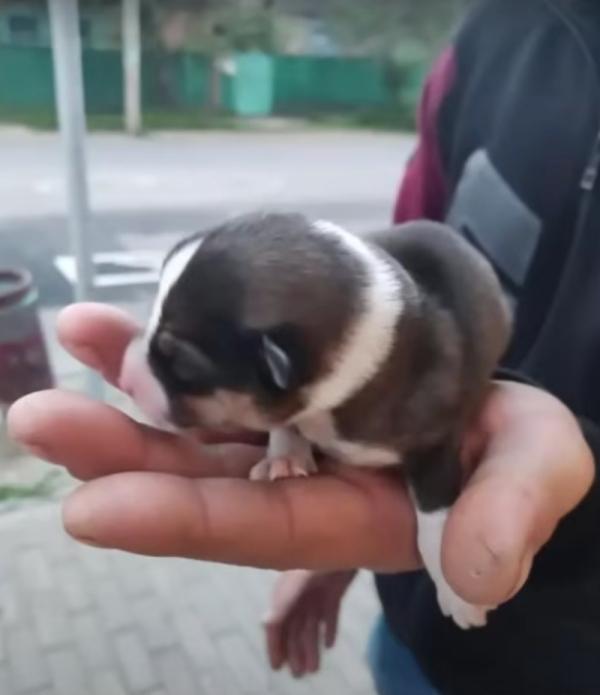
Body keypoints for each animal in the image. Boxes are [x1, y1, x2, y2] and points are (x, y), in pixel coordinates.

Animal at [120, 212, 510, 632]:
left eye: (183, 364)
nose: (126, 379)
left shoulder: (437, 442)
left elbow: (436, 515)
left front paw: (459, 590)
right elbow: (285, 421)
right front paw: (285, 457)